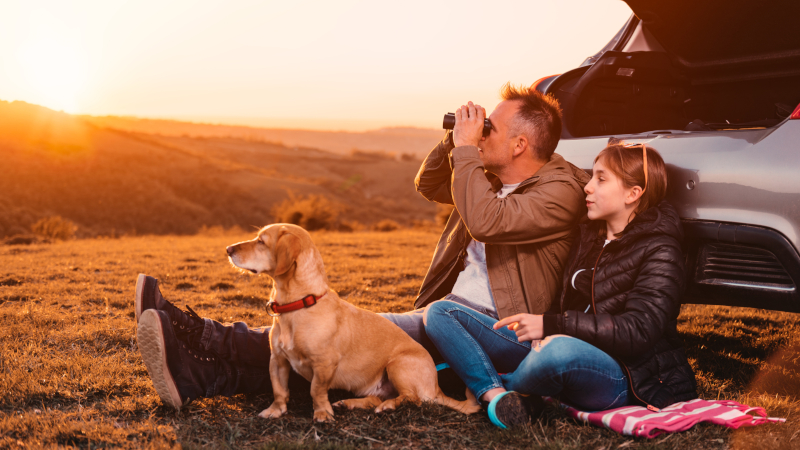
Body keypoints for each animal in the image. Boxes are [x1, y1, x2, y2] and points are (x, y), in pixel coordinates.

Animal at [223, 224, 482, 422]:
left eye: (261, 241)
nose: (227, 249)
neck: (298, 304)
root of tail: (436, 388)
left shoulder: (324, 364)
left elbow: (316, 390)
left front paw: (322, 413)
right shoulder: (277, 360)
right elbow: (279, 390)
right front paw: (275, 411)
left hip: (397, 364)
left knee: (412, 398)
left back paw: (388, 406)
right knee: (378, 397)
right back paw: (350, 403)